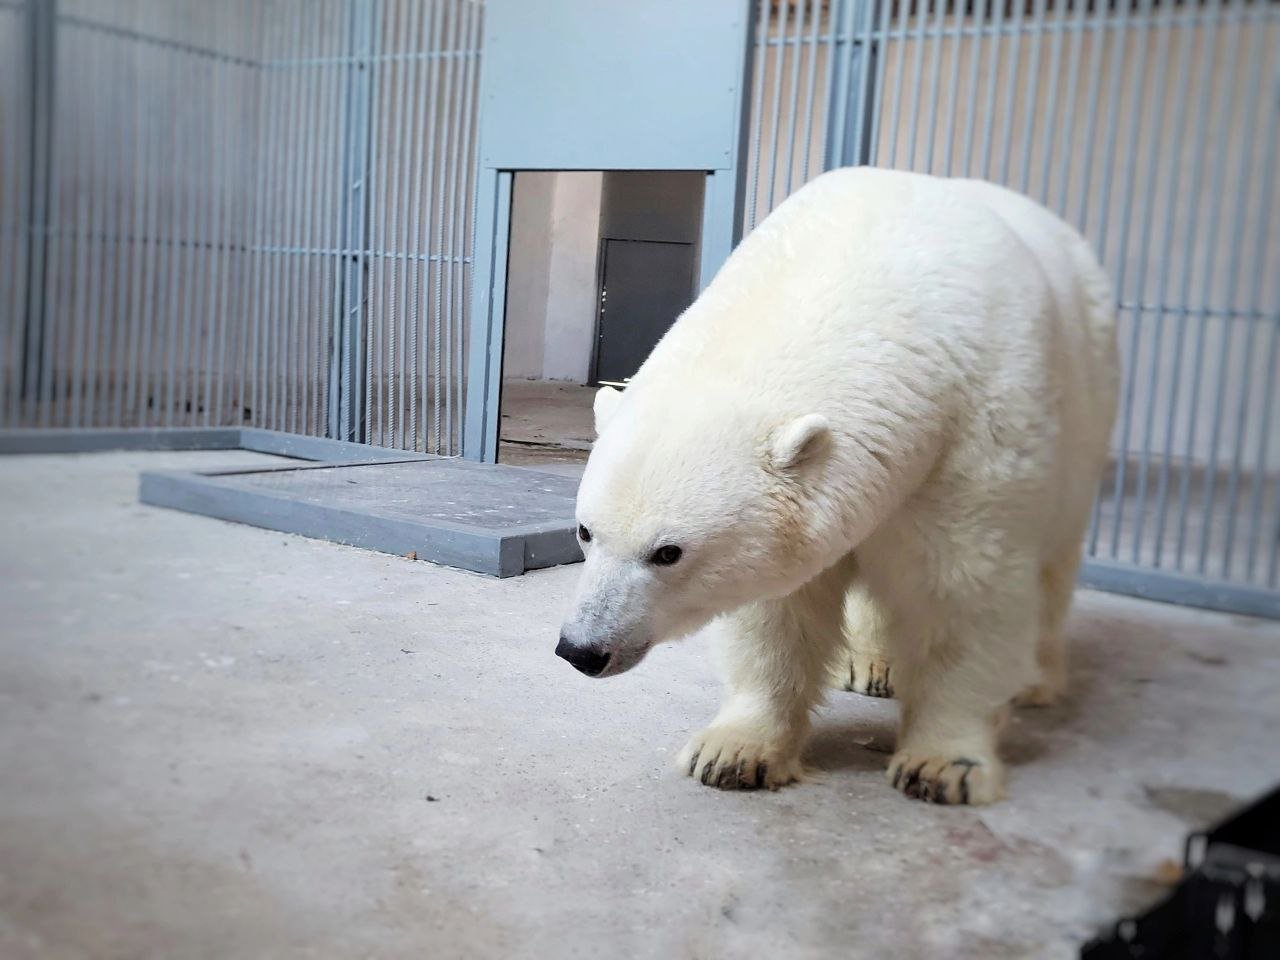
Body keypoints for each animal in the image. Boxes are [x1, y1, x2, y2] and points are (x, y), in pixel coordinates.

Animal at [555, 168, 1116, 808]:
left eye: (668, 552)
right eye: (585, 531)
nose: (582, 649)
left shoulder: (976, 438)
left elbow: (964, 592)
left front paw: (943, 764)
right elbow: (778, 612)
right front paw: (733, 751)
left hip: (1087, 418)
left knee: (1053, 566)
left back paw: (1036, 681)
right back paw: (872, 666)